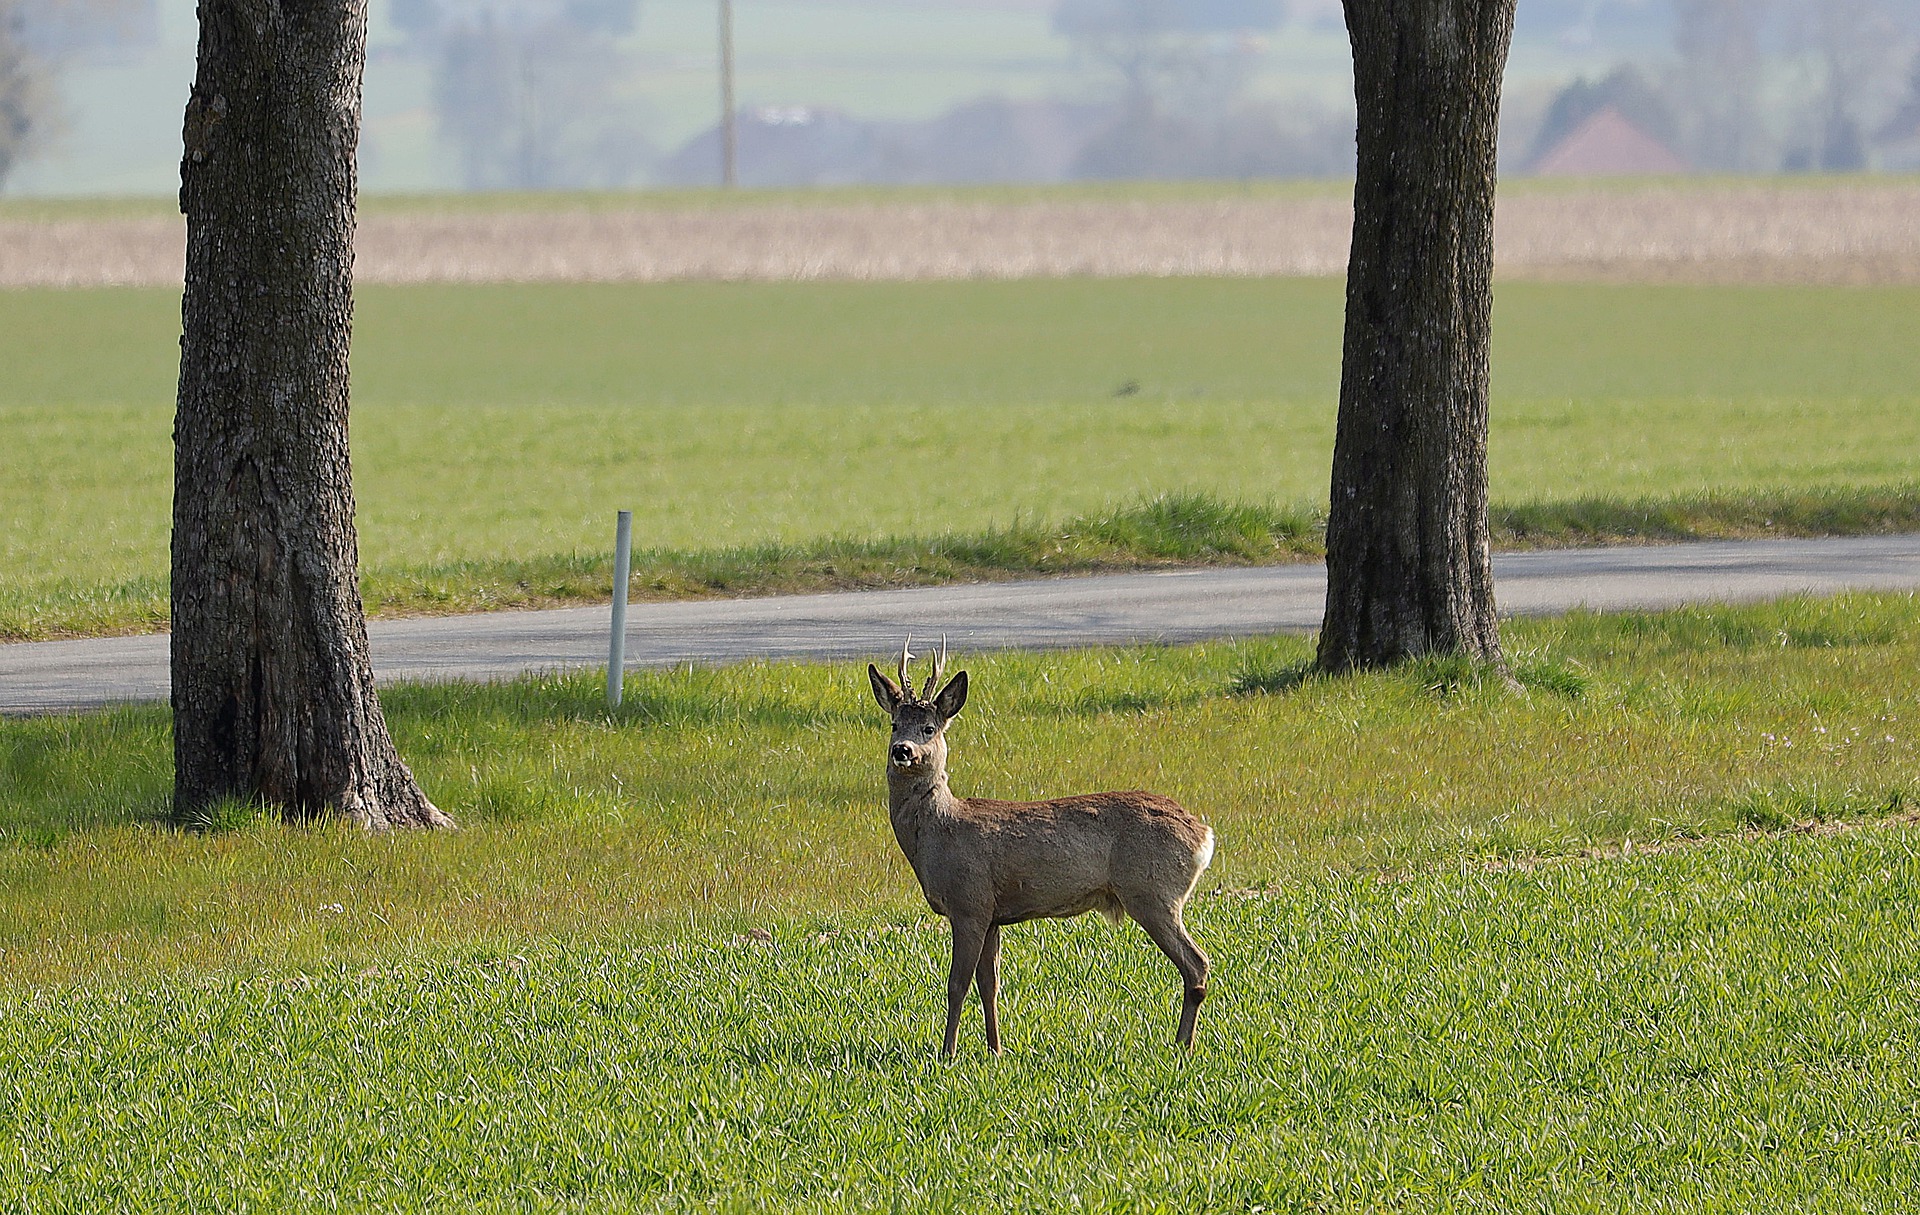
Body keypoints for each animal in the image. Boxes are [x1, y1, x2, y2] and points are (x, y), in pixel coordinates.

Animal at [871, 644, 1213, 1051]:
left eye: (929, 728)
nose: (902, 750)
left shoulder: (969, 902)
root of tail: (1203, 835)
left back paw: (1182, 1045)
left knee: (1196, 963)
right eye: (894, 724)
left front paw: (947, 1053)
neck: (939, 832)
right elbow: (990, 984)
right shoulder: (993, 914)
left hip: (1152, 892)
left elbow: (957, 985)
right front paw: (995, 1048)